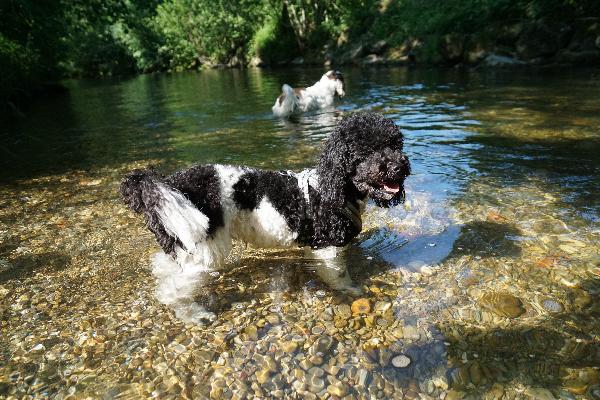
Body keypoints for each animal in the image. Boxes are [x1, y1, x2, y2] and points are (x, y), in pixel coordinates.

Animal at [120, 113, 410, 323]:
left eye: (395, 145)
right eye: (366, 152)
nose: (399, 166)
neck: (334, 189)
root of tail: (164, 185)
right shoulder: (326, 248)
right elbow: (339, 275)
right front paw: (351, 290)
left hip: (180, 242)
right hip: (202, 248)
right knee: (171, 292)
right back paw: (195, 315)